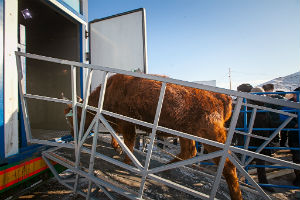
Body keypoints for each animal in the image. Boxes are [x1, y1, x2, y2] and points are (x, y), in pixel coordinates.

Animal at [64, 74, 243, 199]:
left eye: (74, 117)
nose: (72, 134)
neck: (109, 90)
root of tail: (220, 96)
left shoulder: (127, 123)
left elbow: (128, 141)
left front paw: (127, 161)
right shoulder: (118, 121)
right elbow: (117, 135)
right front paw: (116, 147)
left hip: (212, 137)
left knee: (228, 166)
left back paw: (236, 195)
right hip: (186, 133)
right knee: (189, 151)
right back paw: (166, 167)